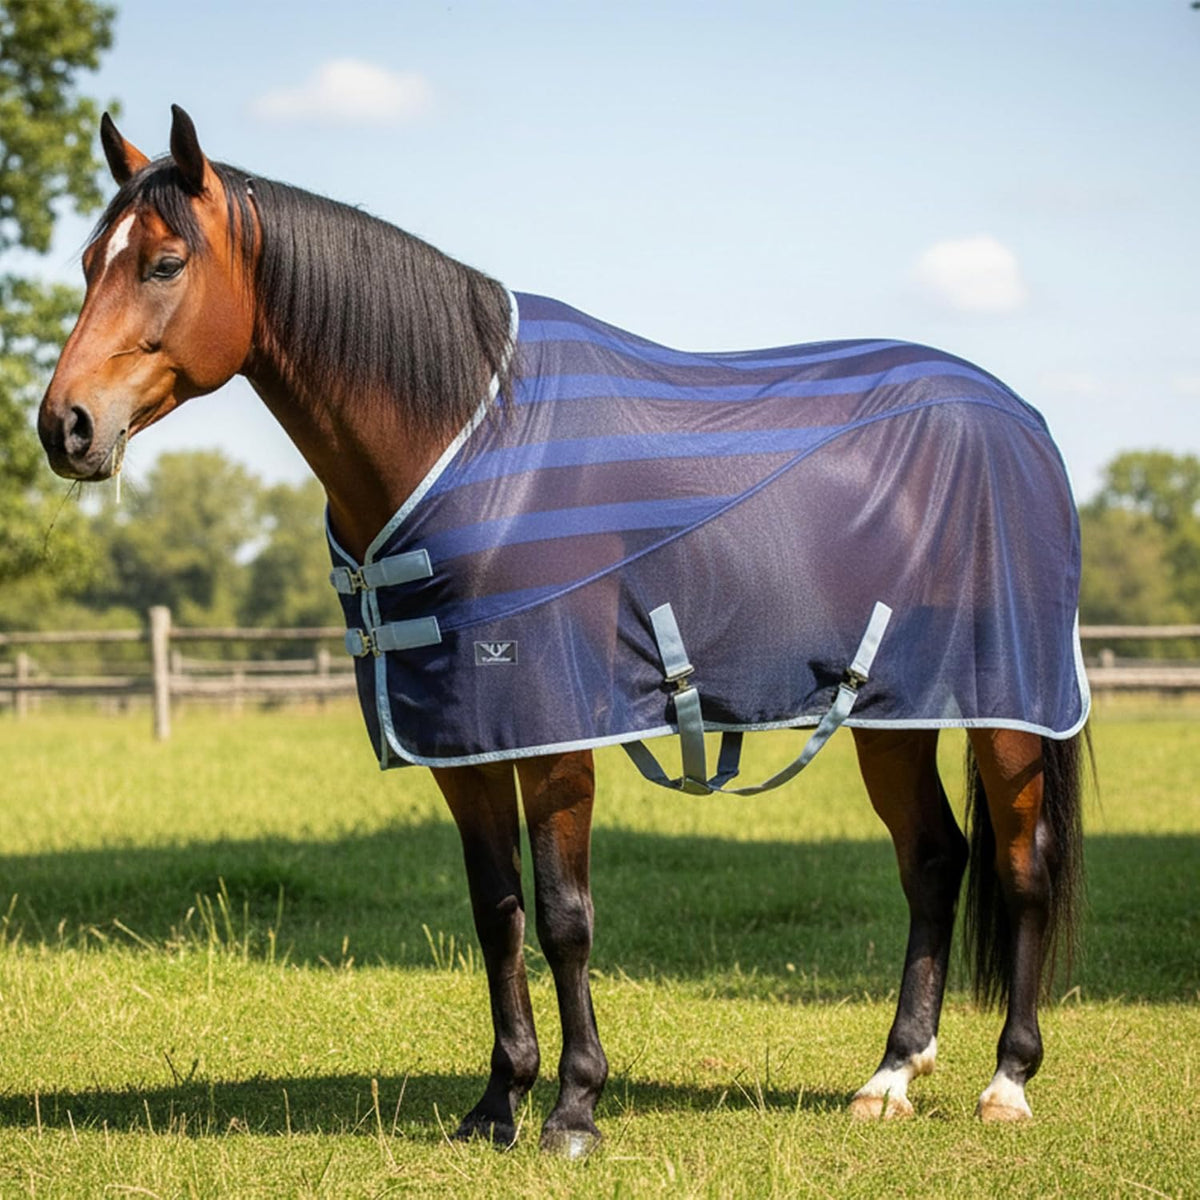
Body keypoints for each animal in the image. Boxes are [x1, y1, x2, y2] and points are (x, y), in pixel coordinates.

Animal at [38, 106, 1088, 1155]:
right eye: (90, 261)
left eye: (164, 263)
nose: (65, 427)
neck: (472, 438)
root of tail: (1023, 419)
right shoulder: (464, 742)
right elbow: (496, 914)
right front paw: (499, 1099)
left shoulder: (554, 737)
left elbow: (563, 916)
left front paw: (576, 1105)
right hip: (891, 714)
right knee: (934, 862)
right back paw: (892, 1074)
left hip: (1008, 714)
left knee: (1021, 869)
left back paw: (1007, 1081)